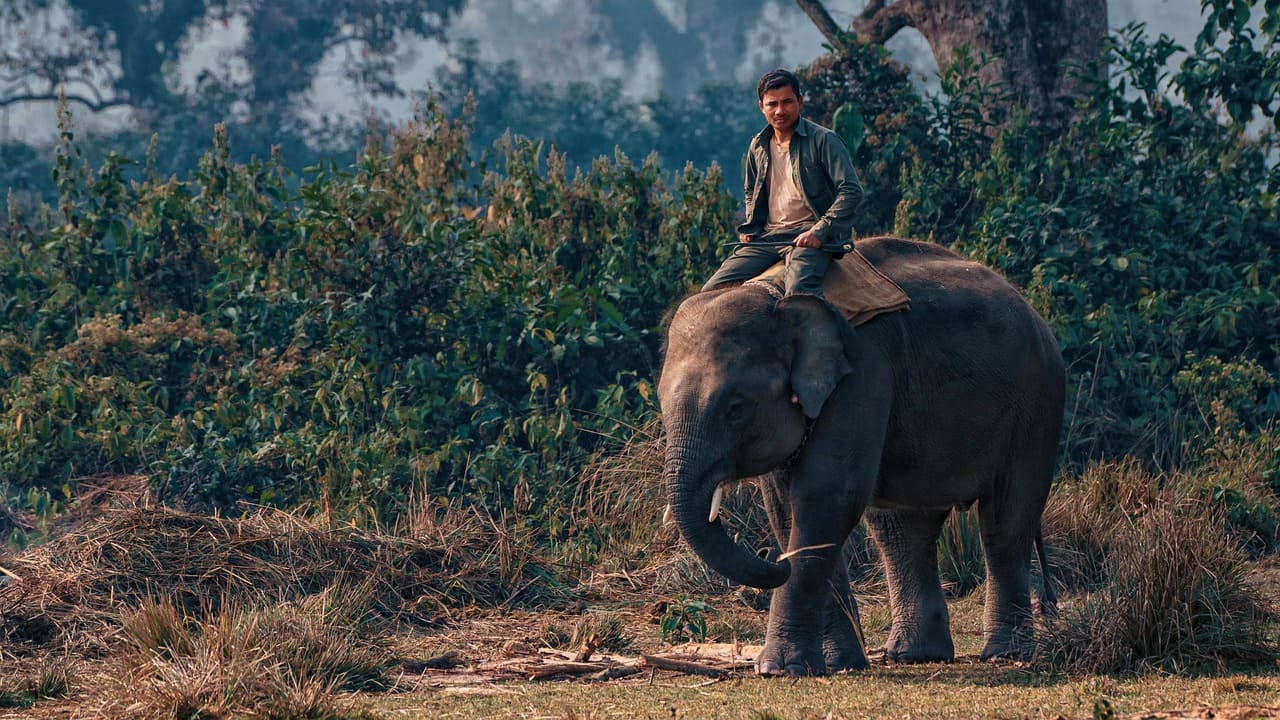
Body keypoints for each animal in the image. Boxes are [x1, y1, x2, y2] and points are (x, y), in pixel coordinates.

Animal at [658, 236, 1065, 676]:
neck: (777, 296)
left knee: (1004, 524)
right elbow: (786, 508)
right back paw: (915, 656)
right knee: (902, 529)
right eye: (662, 403)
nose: (772, 558)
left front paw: (780, 670)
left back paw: (1005, 655)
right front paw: (839, 664)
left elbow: (825, 498)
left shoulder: (863, 374)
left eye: (735, 408)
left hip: (1038, 405)